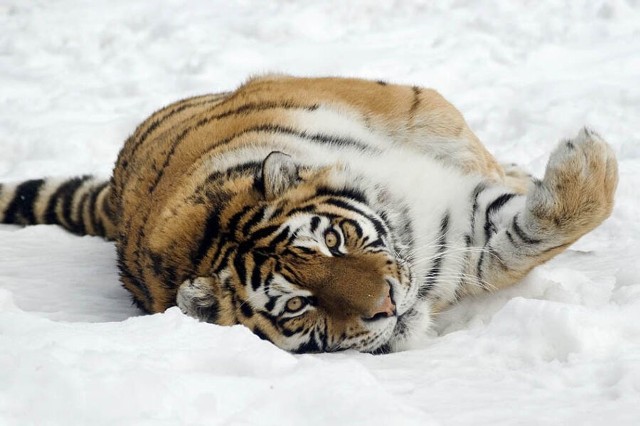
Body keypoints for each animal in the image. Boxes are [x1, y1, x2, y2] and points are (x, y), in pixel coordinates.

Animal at [1, 75, 620, 352]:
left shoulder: (447, 214)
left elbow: (541, 220)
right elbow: (515, 242)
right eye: (299, 305)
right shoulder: (460, 237)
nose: (386, 307)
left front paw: (587, 157)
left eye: (336, 241)